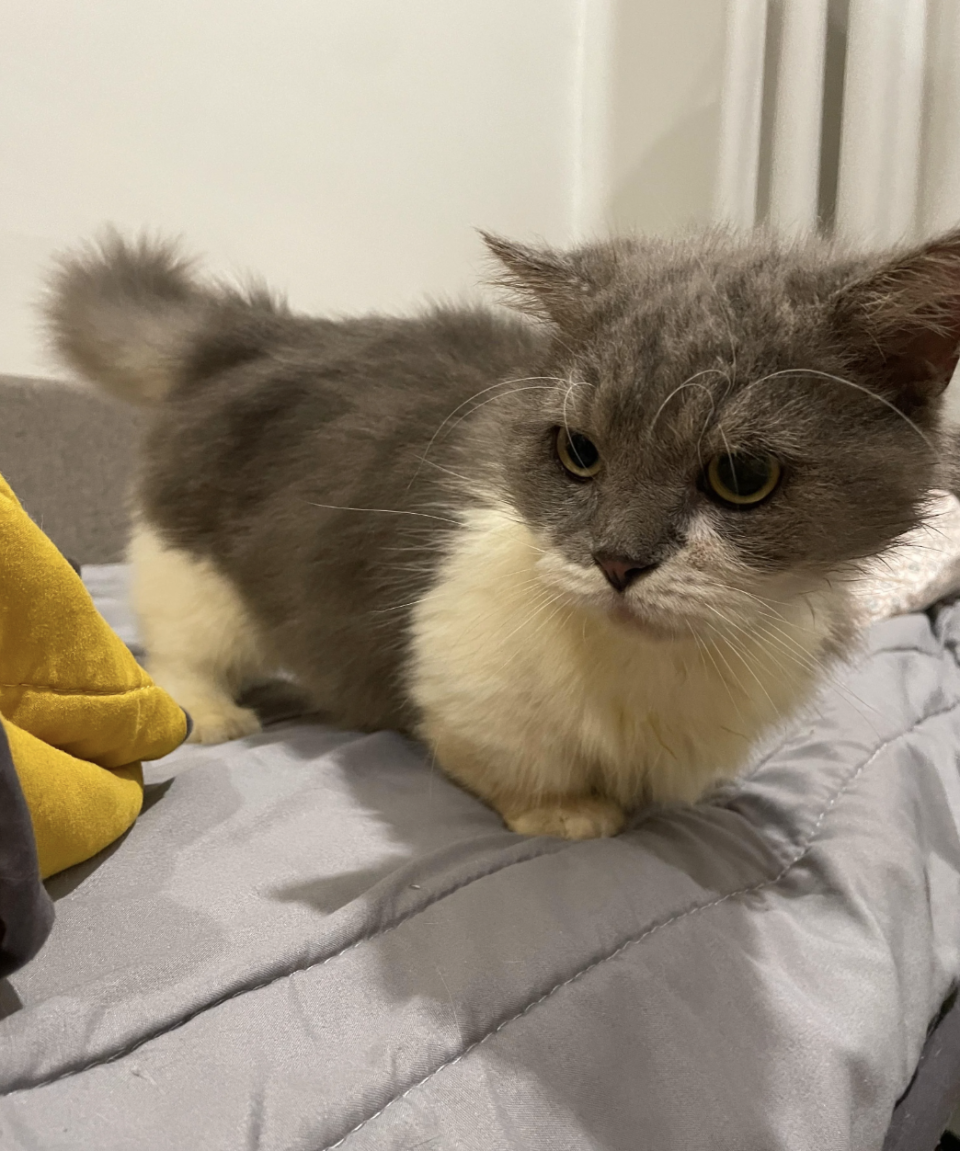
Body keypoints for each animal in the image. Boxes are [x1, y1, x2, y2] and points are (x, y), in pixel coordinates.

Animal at [44, 226, 957, 837]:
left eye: (742, 477)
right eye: (579, 453)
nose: (616, 560)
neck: (664, 664)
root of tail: (255, 329)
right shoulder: (461, 682)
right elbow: (510, 768)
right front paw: (573, 814)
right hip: (198, 578)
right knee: (180, 656)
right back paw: (216, 713)